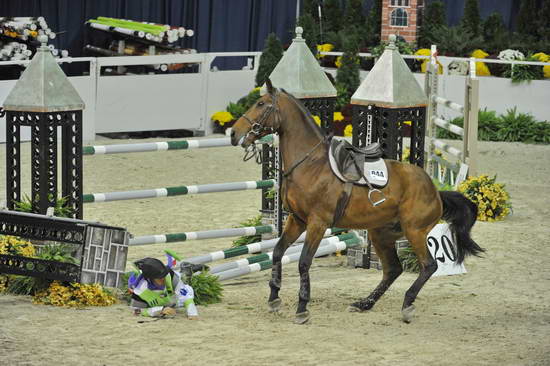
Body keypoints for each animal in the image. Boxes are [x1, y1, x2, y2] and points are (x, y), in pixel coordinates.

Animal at [231, 80, 486, 324]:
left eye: (261, 104)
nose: (233, 133)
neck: (310, 164)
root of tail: (435, 192)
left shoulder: (317, 224)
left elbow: (303, 262)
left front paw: (302, 308)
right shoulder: (297, 220)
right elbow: (277, 252)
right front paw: (274, 298)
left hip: (414, 231)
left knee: (428, 266)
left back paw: (407, 304)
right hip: (380, 233)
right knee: (392, 269)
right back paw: (364, 303)